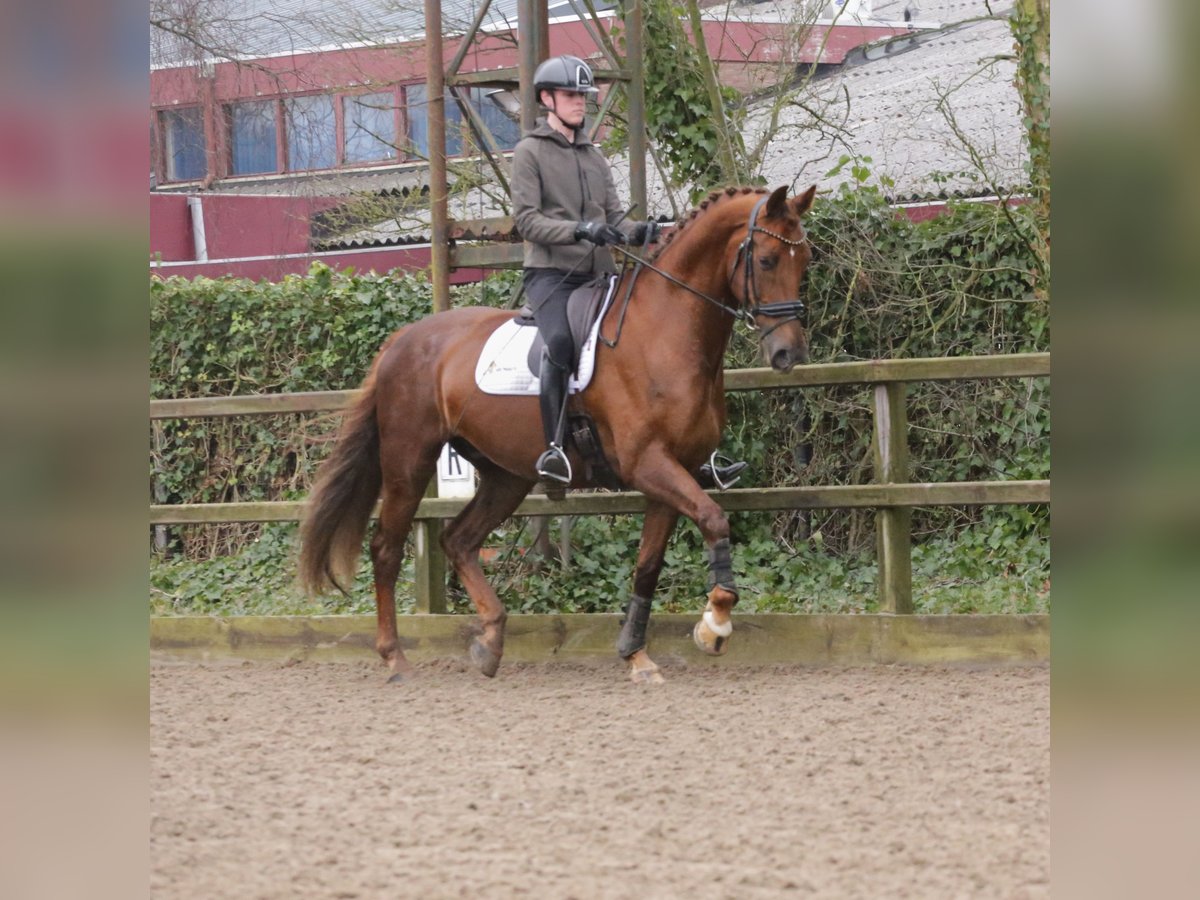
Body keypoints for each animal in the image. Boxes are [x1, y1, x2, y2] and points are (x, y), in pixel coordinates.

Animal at [298, 183, 816, 681]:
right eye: (767, 260)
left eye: (805, 259)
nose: (789, 354)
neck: (666, 330)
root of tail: (401, 340)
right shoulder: (648, 464)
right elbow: (714, 520)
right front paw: (714, 626)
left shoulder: (674, 472)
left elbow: (648, 566)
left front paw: (636, 655)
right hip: (410, 460)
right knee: (387, 550)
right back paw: (395, 659)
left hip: (506, 475)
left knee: (459, 541)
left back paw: (490, 643)